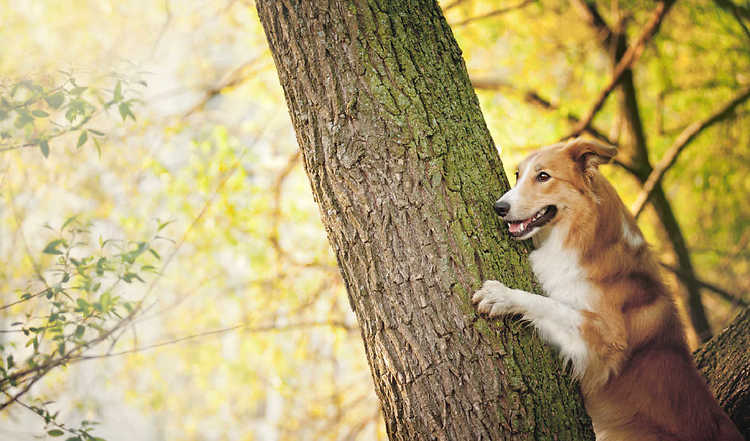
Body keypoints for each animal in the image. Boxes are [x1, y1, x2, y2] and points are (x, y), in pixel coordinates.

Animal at [472, 138, 744, 440]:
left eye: (543, 176)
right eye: (518, 175)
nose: (499, 207)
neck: (585, 236)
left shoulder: (607, 341)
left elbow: (552, 305)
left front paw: (502, 295)